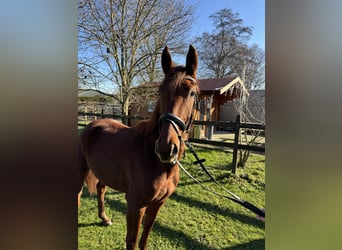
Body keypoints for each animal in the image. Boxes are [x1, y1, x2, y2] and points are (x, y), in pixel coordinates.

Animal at [78, 45, 199, 250]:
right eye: (159, 92)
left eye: (191, 93)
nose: (166, 148)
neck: (155, 160)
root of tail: (90, 126)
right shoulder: (136, 205)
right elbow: (132, 240)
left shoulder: (158, 203)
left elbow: (145, 235)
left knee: (101, 189)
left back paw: (104, 218)